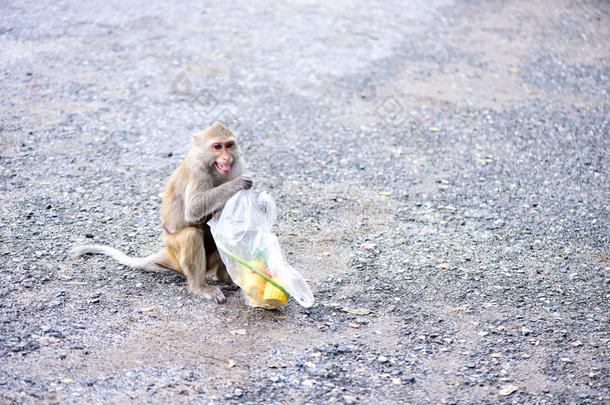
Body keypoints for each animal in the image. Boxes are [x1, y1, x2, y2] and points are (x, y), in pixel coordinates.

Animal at [70, 121, 251, 302]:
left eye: (229, 145)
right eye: (217, 147)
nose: (227, 158)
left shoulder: (238, 165)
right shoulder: (197, 171)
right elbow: (193, 209)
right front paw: (238, 183)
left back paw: (225, 277)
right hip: (175, 250)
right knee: (191, 235)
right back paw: (200, 288)